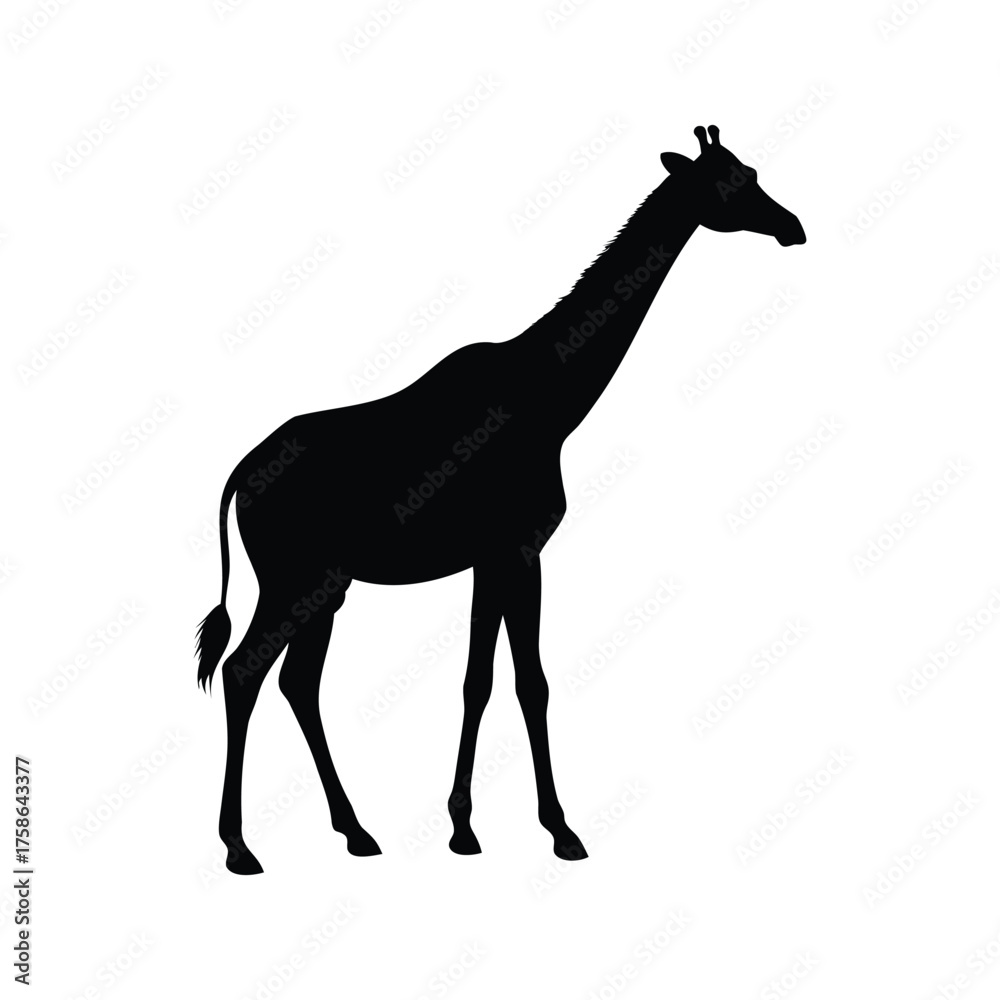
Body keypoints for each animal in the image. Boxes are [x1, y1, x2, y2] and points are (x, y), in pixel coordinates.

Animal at [196, 125, 806, 874]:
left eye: (752, 172)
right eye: (731, 183)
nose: (793, 226)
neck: (555, 398)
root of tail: (238, 477)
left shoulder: (491, 557)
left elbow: (480, 680)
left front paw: (463, 827)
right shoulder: (519, 548)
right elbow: (528, 682)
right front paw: (561, 831)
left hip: (327, 585)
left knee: (296, 683)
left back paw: (357, 832)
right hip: (291, 578)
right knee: (243, 671)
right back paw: (239, 846)